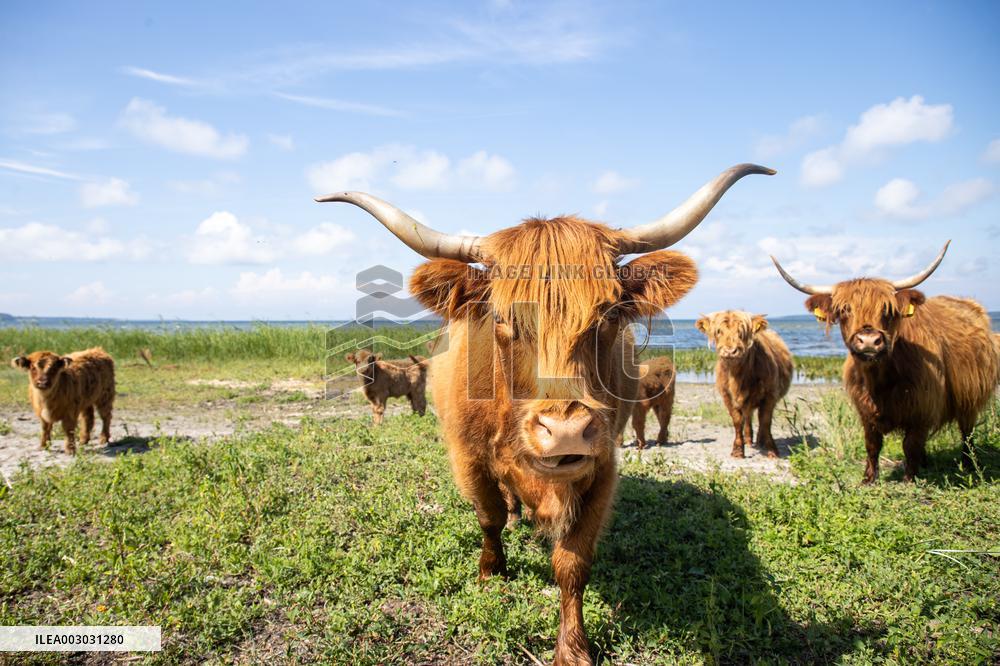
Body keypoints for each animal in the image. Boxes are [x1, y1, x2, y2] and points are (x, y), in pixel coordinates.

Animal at [318, 163, 774, 664]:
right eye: (502, 318)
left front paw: (572, 647)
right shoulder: (468, 456)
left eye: (608, 313)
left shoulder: (601, 468)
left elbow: (572, 560)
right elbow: (489, 516)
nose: (566, 431)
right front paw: (491, 572)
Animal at [695, 311, 793, 458]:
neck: (738, 378)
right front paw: (738, 451)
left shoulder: (770, 395)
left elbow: (765, 420)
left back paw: (760, 441)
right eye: (719, 331)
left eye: (742, 332)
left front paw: (771, 450)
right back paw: (748, 439)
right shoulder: (727, 396)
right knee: (748, 416)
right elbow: (737, 420)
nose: (730, 351)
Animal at [772, 242, 1000, 482]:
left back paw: (969, 465)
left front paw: (909, 479)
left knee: (967, 433)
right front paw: (868, 479)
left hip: (971, 396)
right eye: (844, 310)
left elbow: (910, 444)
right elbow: (873, 444)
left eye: (887, 309)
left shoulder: (923, 406)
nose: (869, 340)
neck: (880, 380)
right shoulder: (865, 410)